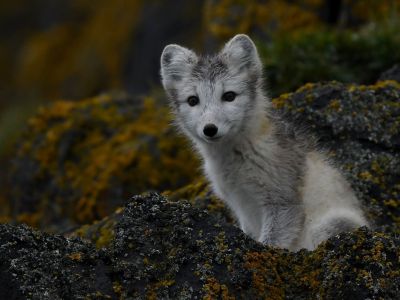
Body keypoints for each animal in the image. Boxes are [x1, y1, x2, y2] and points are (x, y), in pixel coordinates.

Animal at [159, 34, 368, 251]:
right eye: (193, 100)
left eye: (229, 96)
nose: (210, 129)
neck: (234, 159)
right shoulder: (239, 204)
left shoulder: (282, 202)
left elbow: (270, 243)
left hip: (329, 225)